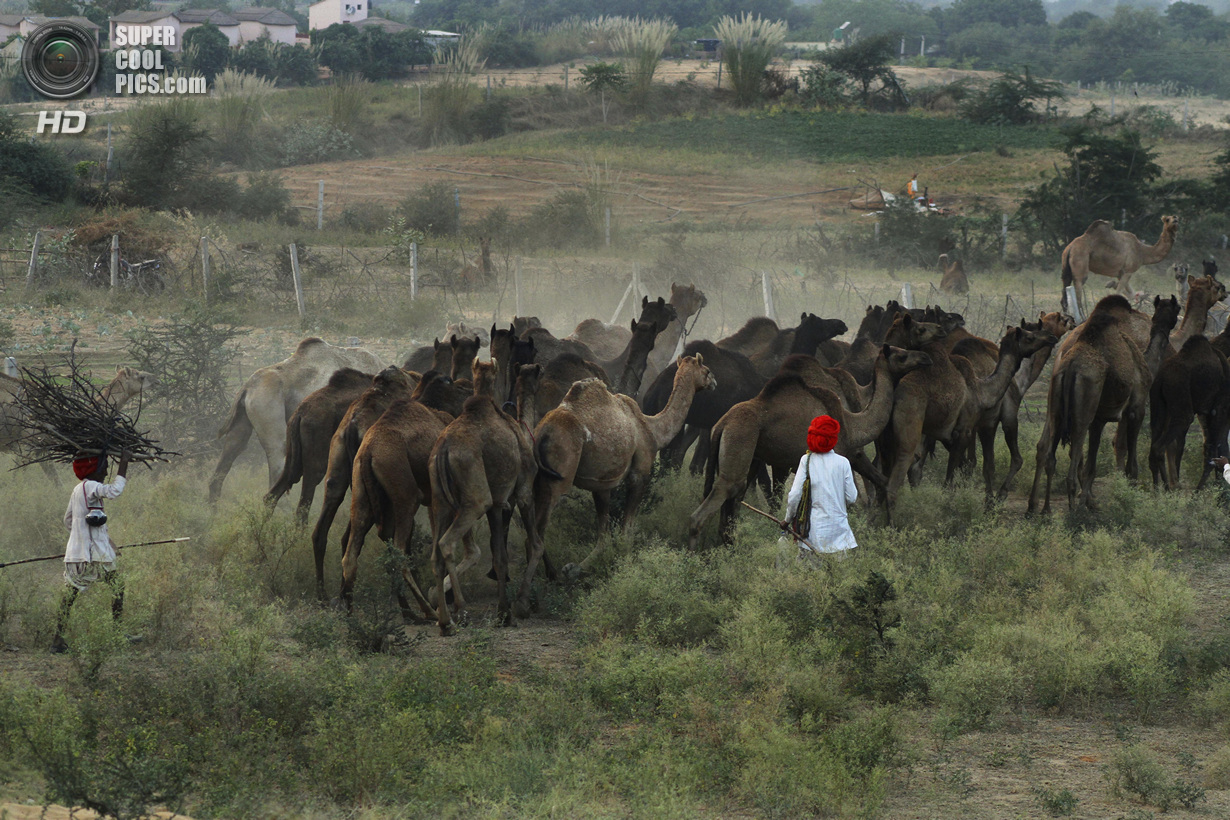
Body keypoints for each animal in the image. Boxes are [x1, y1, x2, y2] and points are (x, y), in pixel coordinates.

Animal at [533, 354, 718, 570]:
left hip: (539, 476)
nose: (714, 381)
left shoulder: (602, 483)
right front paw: (627, 563)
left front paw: (578, 568)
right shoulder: (640, 473)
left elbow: (603, 534)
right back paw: (548, 573)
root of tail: (543, 432)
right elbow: (626, 530)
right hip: (559, 476)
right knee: (539, 530)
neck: (653, 428)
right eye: (706, 370)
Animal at [693, 344, 929, 548]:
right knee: (711, 506)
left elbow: (883, 484)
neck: (851, 423)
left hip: (746, 453)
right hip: (740, 440)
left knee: (731, 507)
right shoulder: (839, 457)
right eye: (902, 355)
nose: (925, 357)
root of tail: (721, 425)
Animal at [1023, 295, 1175, 513]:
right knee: (1073, 453)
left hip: (1056, 405)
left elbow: (1093, 464)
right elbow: (1128, 458)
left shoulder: (1100, 418)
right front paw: (1128, 495)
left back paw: (1042, 509)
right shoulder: (1135, 409)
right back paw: (1074, 511)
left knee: (1048, 450)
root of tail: (1067, 364)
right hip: (1081, 412)